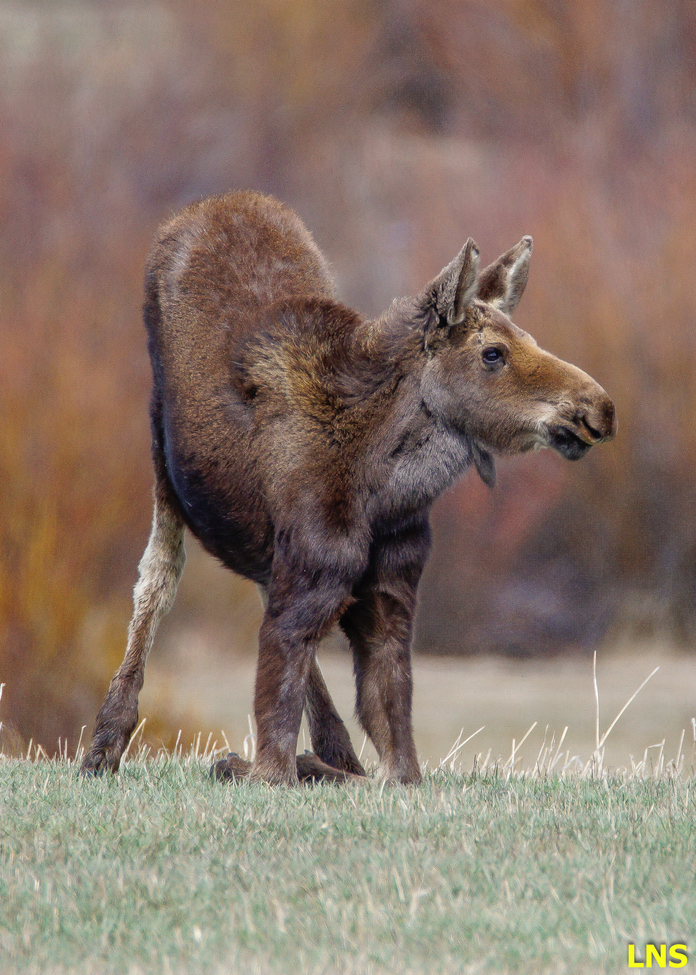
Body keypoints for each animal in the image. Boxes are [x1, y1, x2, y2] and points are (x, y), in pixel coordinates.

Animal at [80, 190, 616, 786]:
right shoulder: (310, 575)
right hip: (161, 450)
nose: (598, 408)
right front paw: (265, 761)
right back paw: (105, 743)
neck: (381, 492)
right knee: (157, 576)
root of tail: (216, 202)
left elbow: (395, 762)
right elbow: (272, 756)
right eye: (492, 353)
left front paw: (325, 759)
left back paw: (332, 746)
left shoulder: (389, 595)